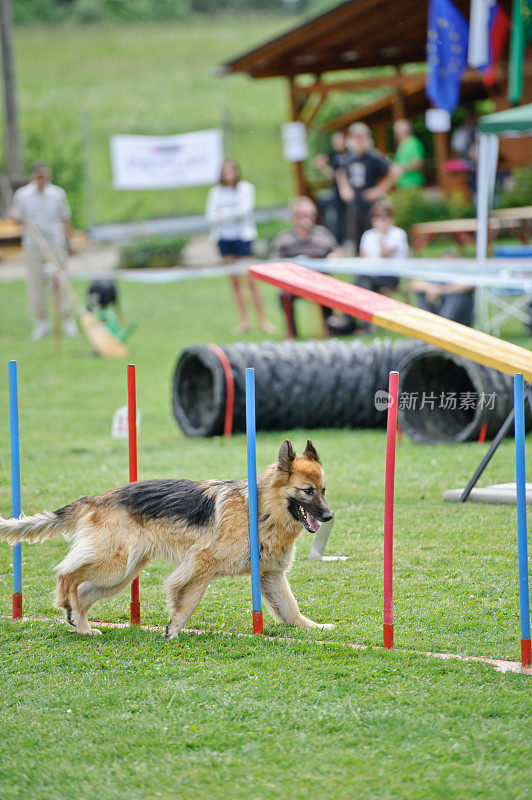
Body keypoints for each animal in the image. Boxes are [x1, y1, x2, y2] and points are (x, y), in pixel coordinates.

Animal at [0, 438, 332, 636]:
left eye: (324, 490)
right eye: (307, 491)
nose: (329, 517)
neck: (262, 509)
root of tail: (96, 499)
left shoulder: (269, 575)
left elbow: (291, 609)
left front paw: (314, 627)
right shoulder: (201, 563)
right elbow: (188, 598)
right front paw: (174, 628)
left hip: (119, 576)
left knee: (81, 594)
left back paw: (80, 625)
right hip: (114, 565)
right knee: (66, 574)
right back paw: (70, 610)